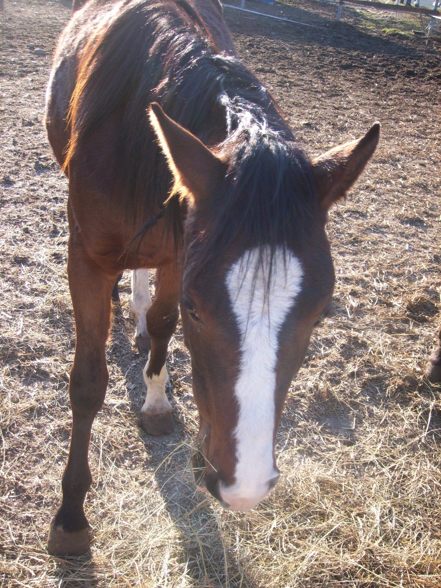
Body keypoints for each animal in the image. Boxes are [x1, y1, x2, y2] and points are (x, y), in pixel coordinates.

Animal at [44, 0, 378, 556]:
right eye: (198, 309)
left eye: (318, 316)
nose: (245, 486)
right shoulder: (87, 260)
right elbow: (88, 382)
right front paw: (70, 518)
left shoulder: (180, 250)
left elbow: (162, 323)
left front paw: (158, 402)